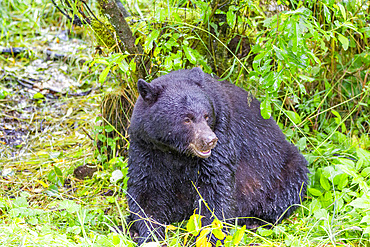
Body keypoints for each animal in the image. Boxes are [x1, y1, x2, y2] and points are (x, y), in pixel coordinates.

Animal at [127, 67, 310, 245]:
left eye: (206, 116)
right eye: (187, 119)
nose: (210, 140)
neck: (176, 152)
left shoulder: (222, 131)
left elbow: (215, 186)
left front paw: (210, 237)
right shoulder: (146, 147)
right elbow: (145, 191)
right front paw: (150, 235)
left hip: (282, 167)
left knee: (288, 189)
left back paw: (255, 221)